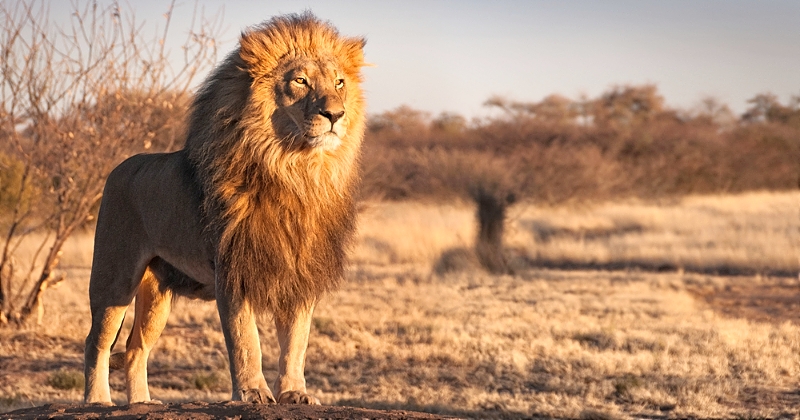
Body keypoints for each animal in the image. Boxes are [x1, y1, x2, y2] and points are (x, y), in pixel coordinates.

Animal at [83, 13, 366, 406]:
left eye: (339, 82)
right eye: (300, 80)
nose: (335, 114)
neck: (295, 171)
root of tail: (120, 167)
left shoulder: (300, 272)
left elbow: (296, 341)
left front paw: (295, 393)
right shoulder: (233, 268)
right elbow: (246, 340)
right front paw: (253, 393)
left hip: (157, 293)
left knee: (136, 347)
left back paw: (142, 403)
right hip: (114, 277)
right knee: (97, 341)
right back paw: (97, 401)